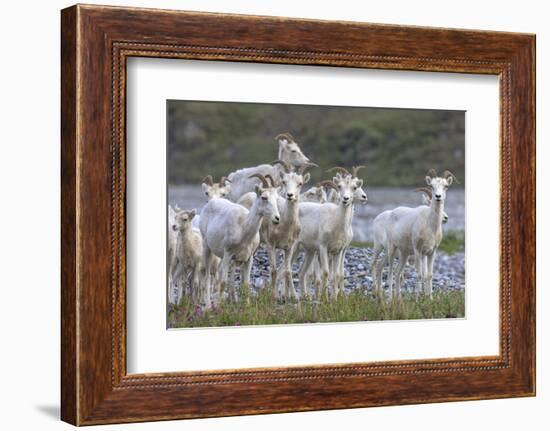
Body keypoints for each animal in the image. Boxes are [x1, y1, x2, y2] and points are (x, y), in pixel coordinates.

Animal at [201, 174, 282, 306]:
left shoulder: (249, 258)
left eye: (277, 198)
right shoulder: (228, 255)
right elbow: (223, 283)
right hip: (207, 248)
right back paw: (208, 305)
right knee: (208, 276)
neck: (243, 228)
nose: (277, 218)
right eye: (264, 197)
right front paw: (218, 307)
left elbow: (246, 284)